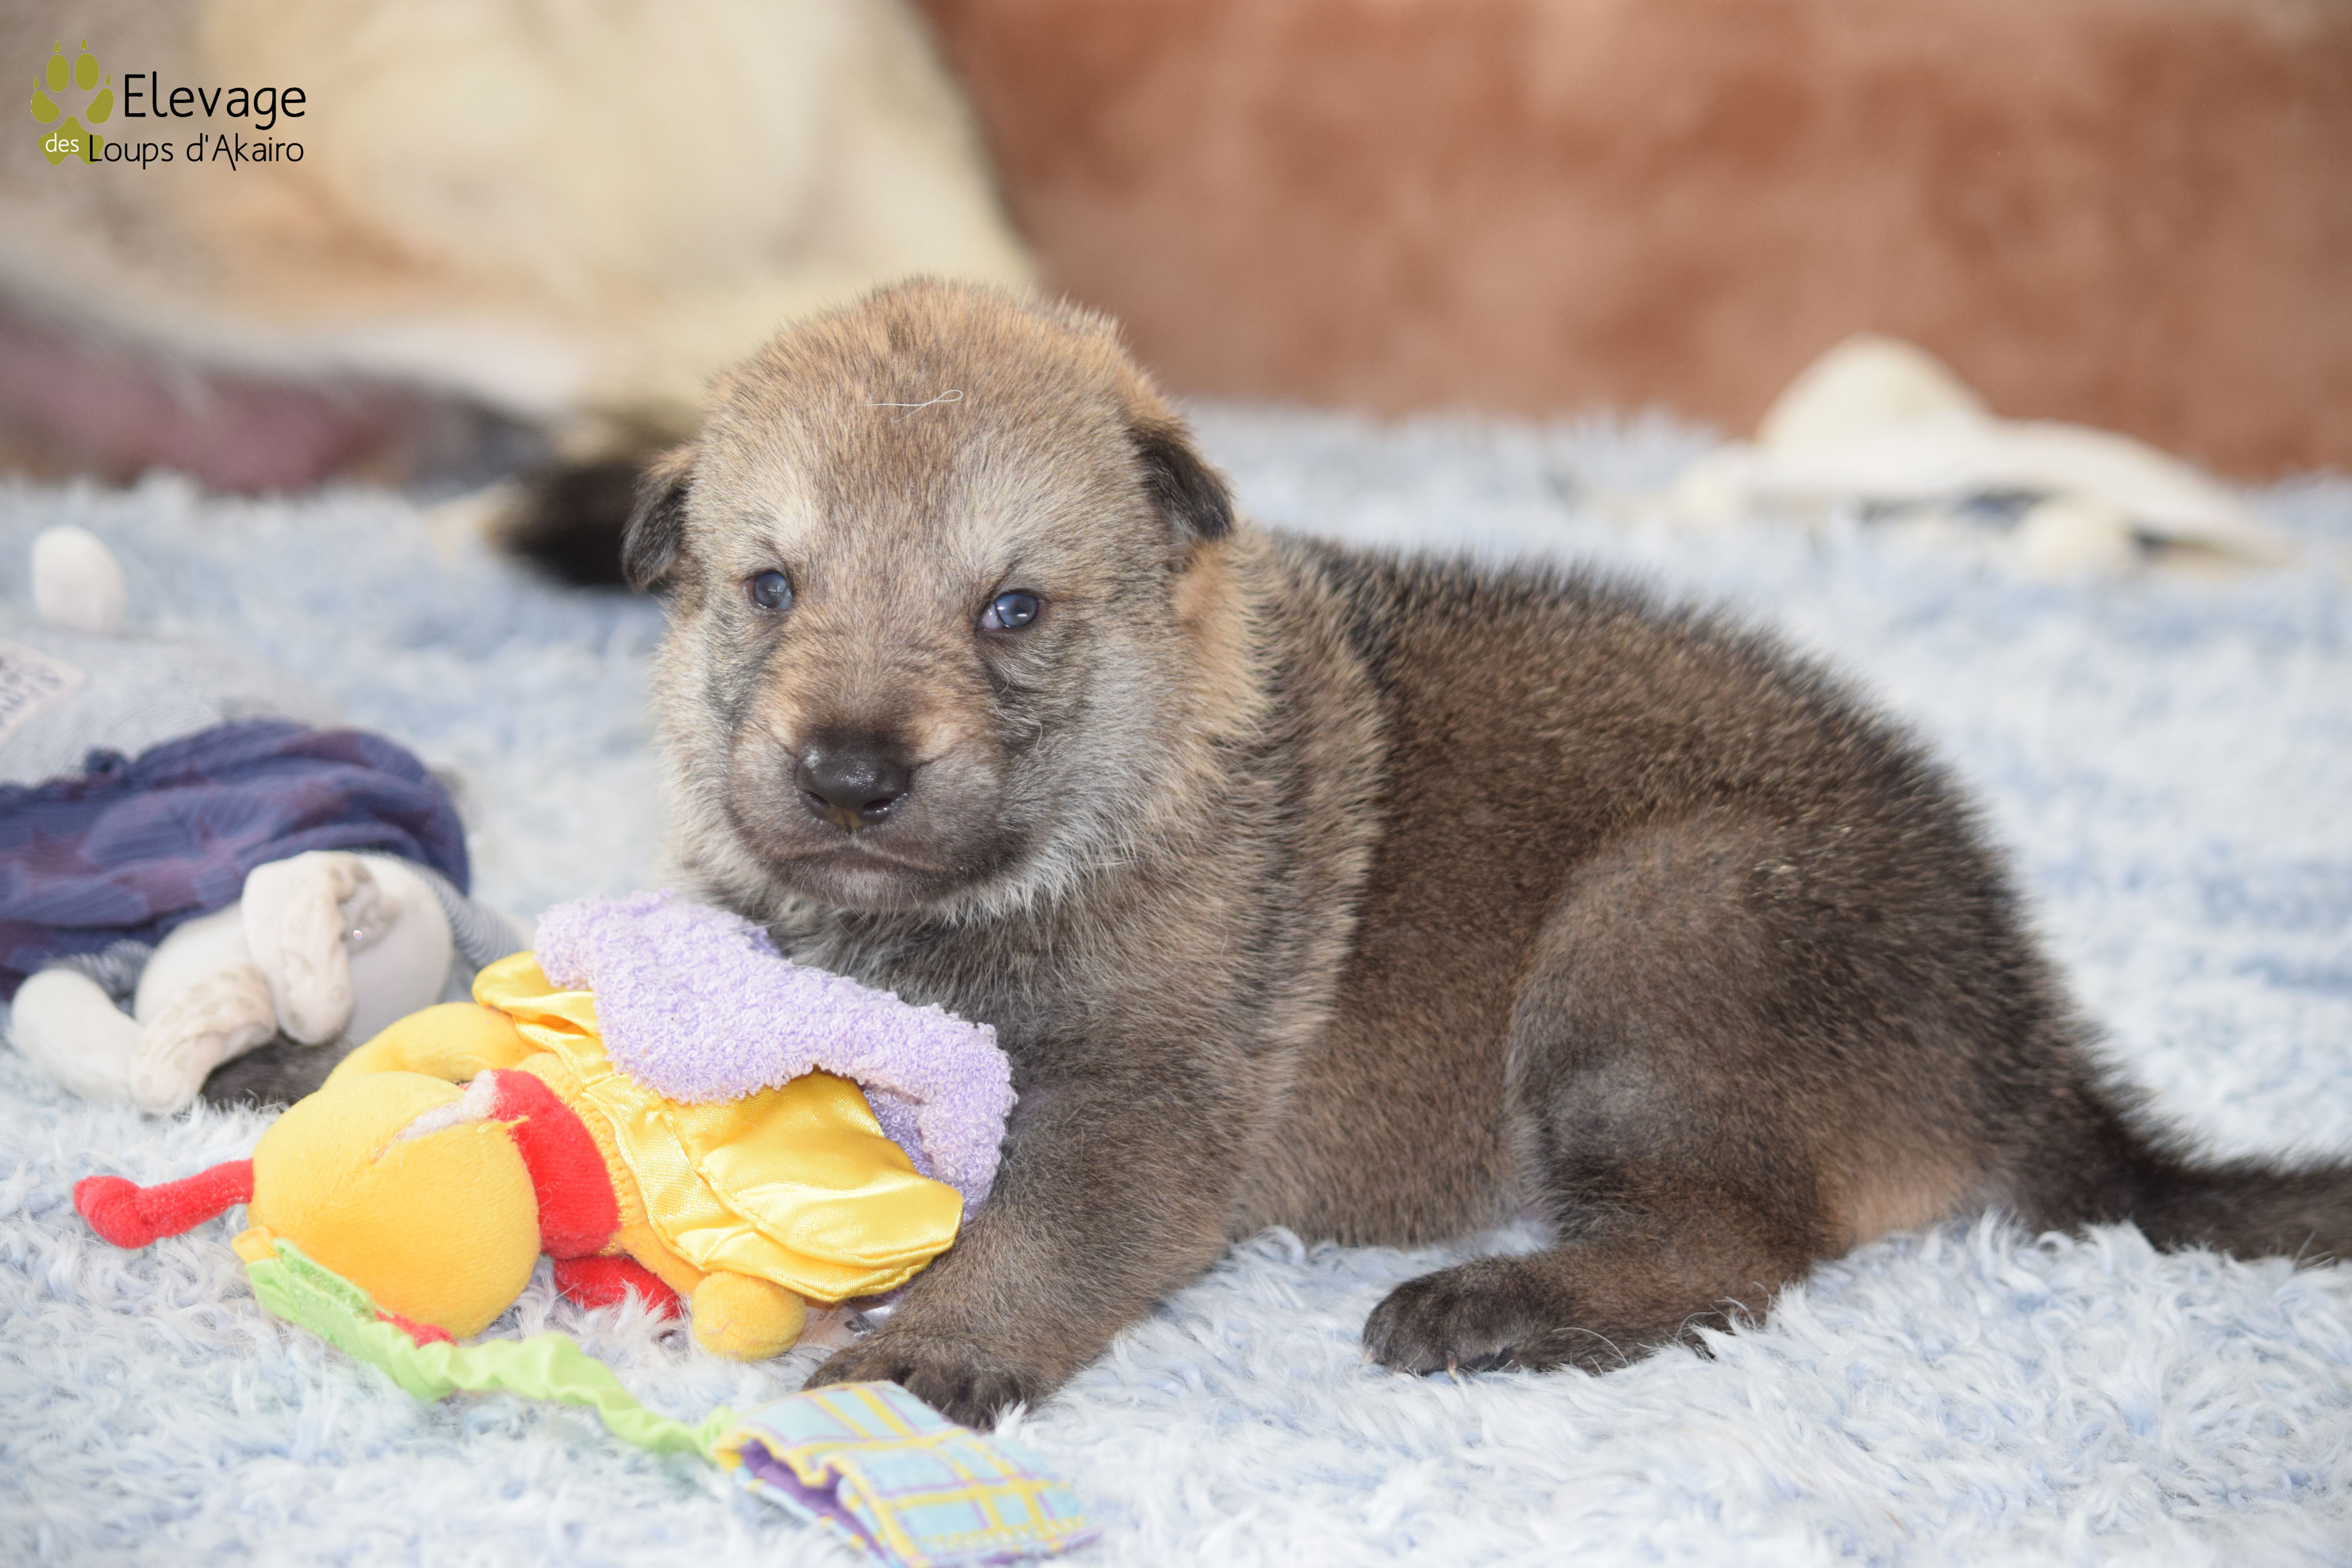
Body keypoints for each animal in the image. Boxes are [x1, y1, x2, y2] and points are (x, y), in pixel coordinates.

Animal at [621, 279, 2351, 1427]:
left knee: (1730, 1255)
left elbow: (1052, 1228)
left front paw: (935, 1349)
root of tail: (2023, 1036)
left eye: (1011, 609)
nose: (849, 775)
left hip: (1656, 945)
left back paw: (1494, 1307)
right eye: (770, 587)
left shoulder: (1146, 1096)